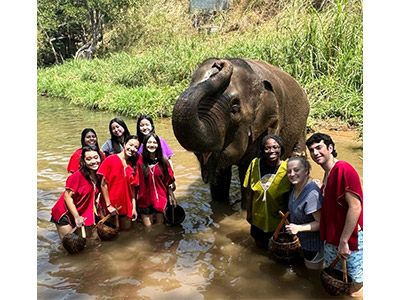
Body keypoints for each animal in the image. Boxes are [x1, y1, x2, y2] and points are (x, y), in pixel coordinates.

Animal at [172, 57, 310, 207]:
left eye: (235, 108)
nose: (219, 63)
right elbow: (221, 177)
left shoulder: (268, 126)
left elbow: (250, 172)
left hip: (303, 121)